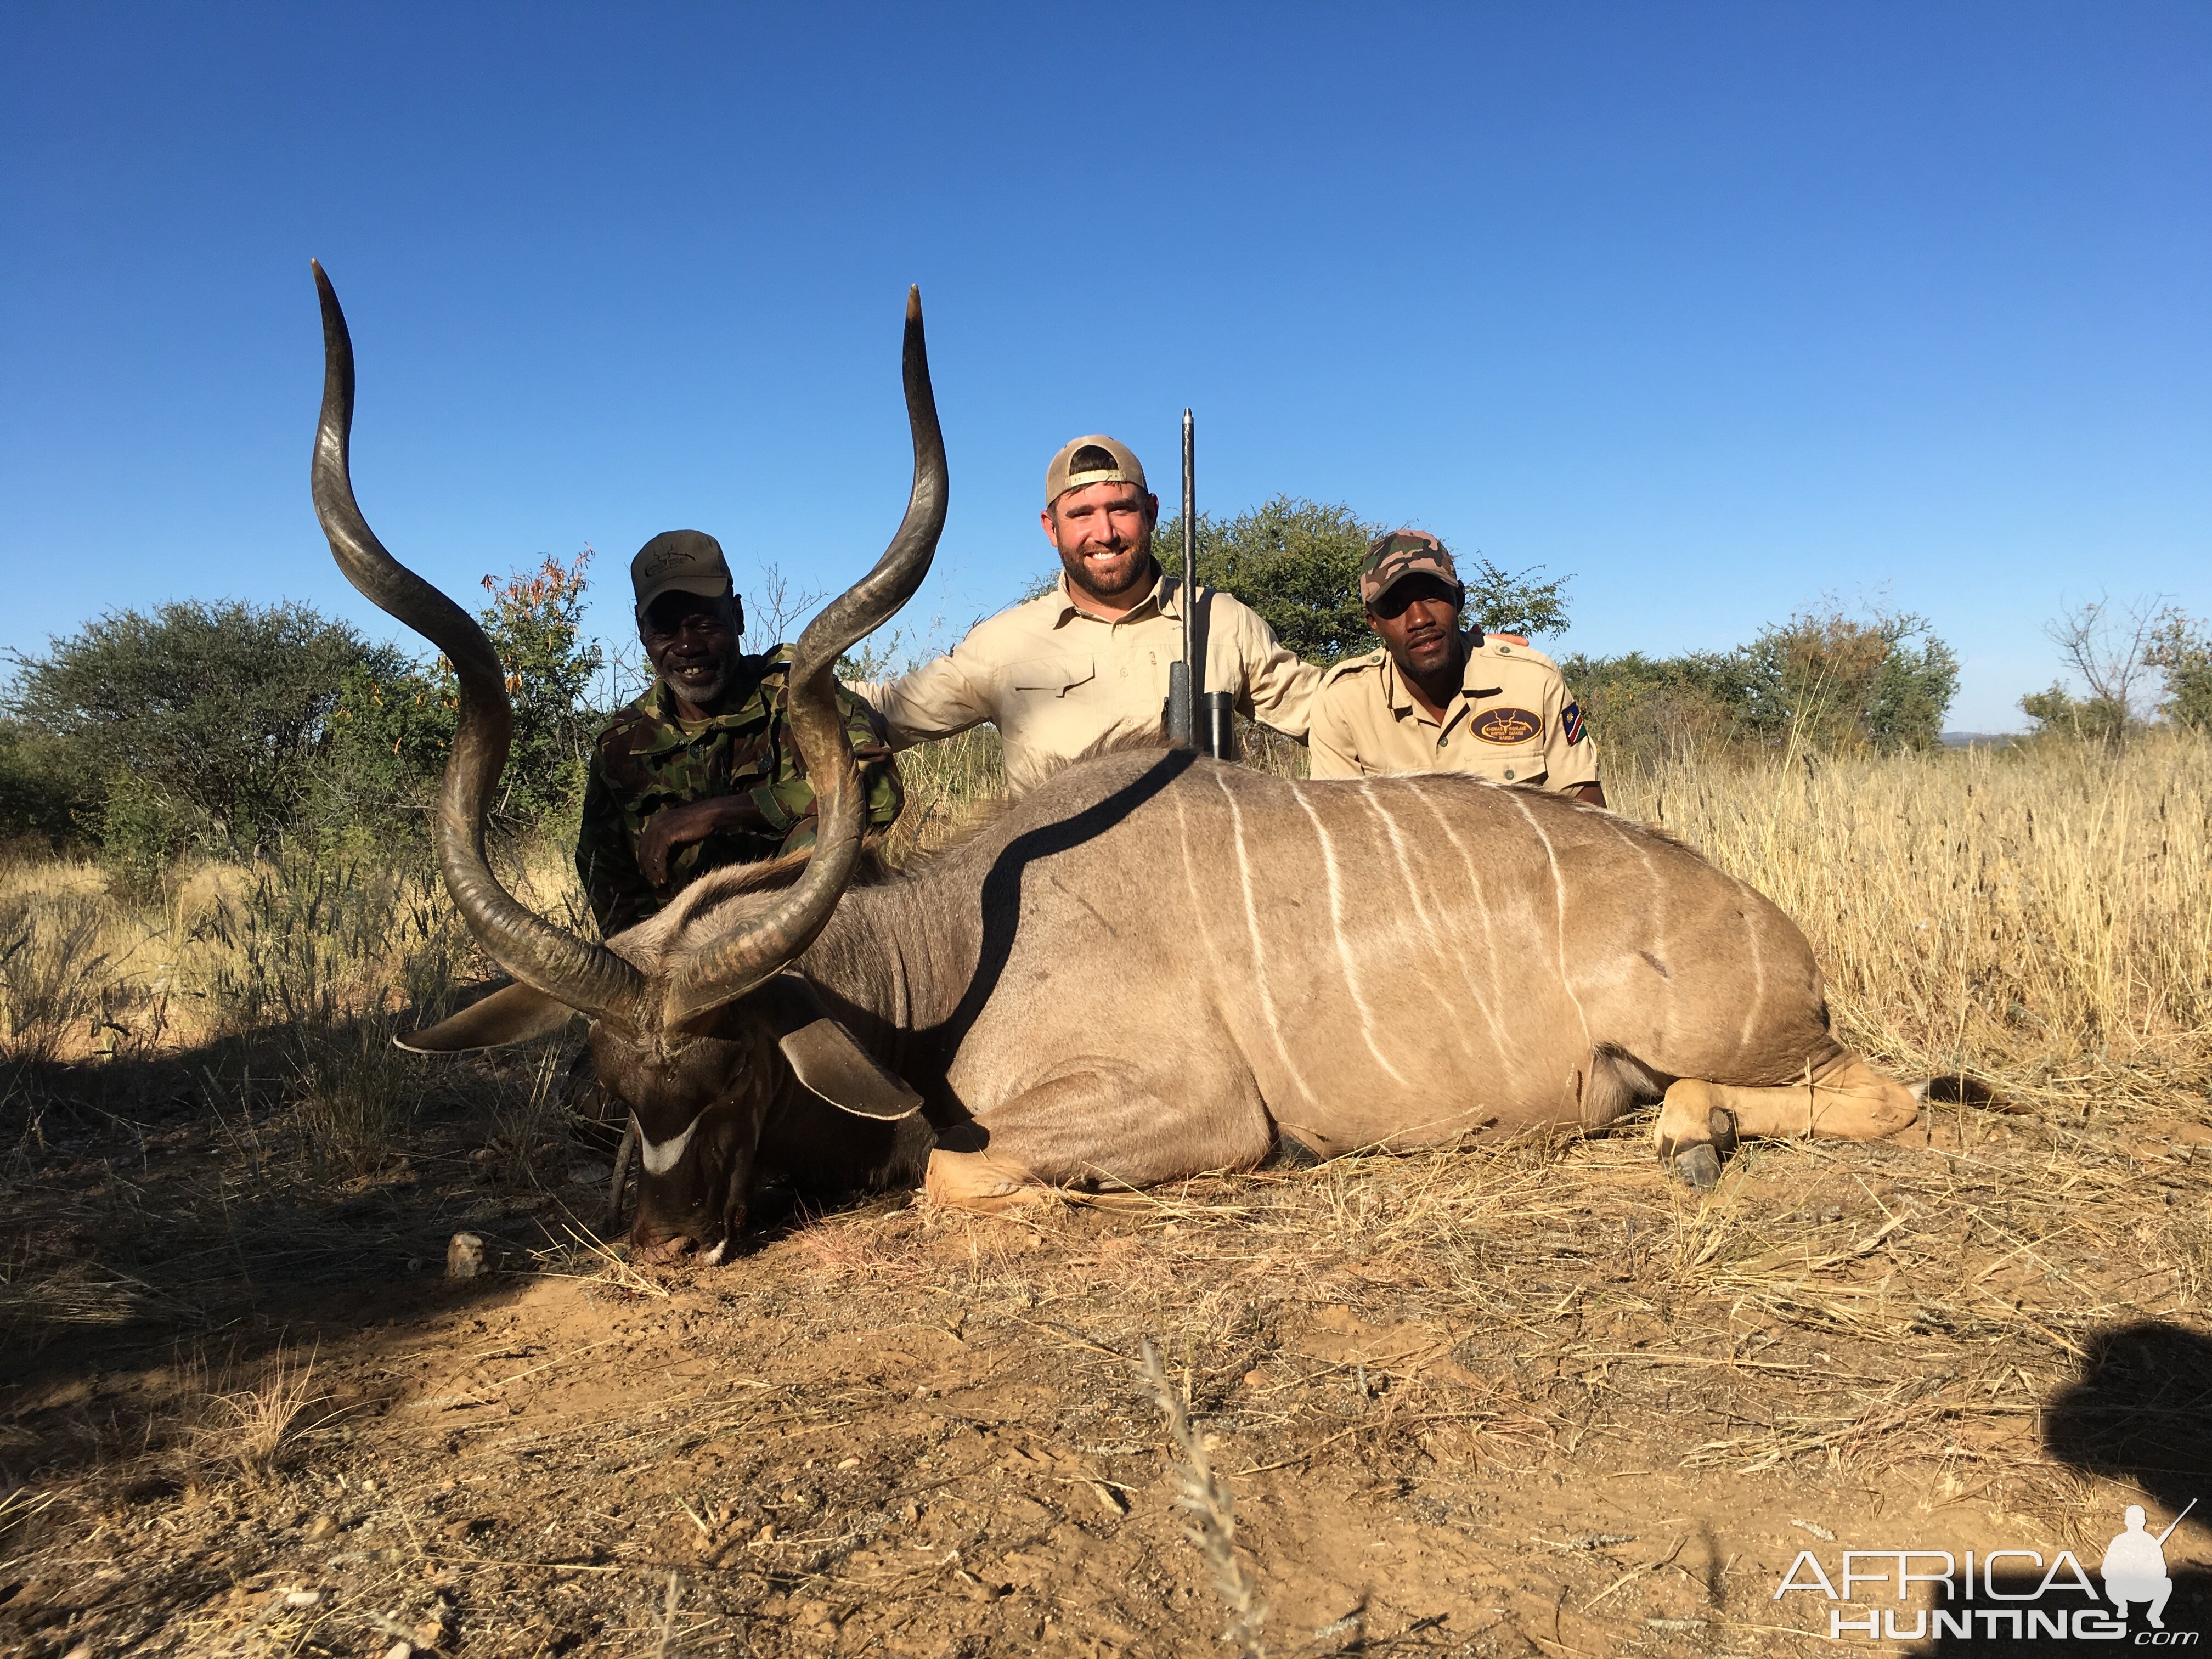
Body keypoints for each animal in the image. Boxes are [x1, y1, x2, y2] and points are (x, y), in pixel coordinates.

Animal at [316, 269, 1955, 1256]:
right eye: (606, 1078)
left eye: (726, 1074)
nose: (662, 1246)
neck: (929, 974)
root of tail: (1774, 934)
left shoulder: (1188, 1113)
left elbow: (958, 1174)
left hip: (1747, 1043)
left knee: (1887, 1096)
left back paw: (1687, 1134)